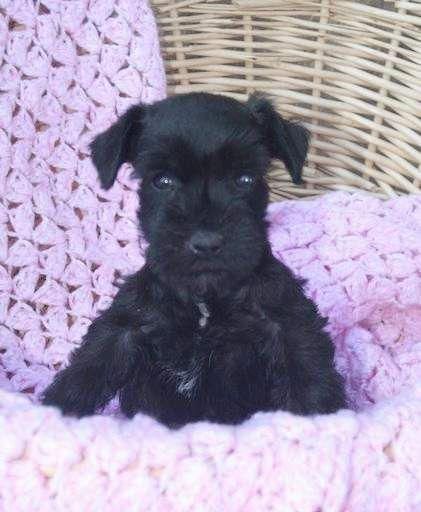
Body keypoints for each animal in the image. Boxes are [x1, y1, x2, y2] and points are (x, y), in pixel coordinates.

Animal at [41, 93, 344, 428]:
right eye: (163, 181)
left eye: (245, 178)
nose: (206, 243)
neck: (204, 302)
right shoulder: (127, 326)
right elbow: (90, 366)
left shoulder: (286, 324)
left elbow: (307, 373)